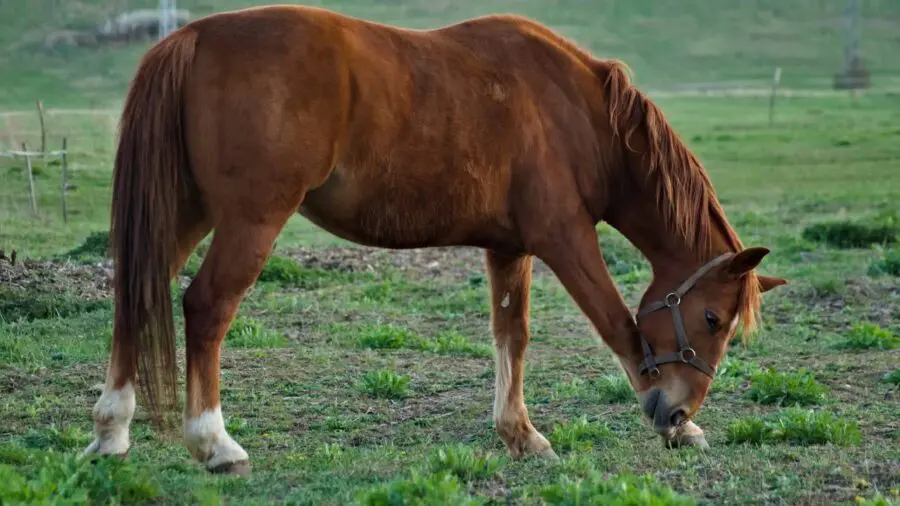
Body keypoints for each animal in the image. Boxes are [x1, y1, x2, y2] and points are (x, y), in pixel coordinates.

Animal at [84, 5, 788, 476]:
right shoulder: (564, 239)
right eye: (712, 318)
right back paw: (214, 443)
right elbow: (618, 324)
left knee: (136, 294)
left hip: (188, 212)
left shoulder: (509, 247)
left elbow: (512, 337)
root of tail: (193, 36)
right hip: (249, 219)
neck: (578, 113)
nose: (675, 411)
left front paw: (519, 434)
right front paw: (675, 427)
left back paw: (111, 430)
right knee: (206, 308)